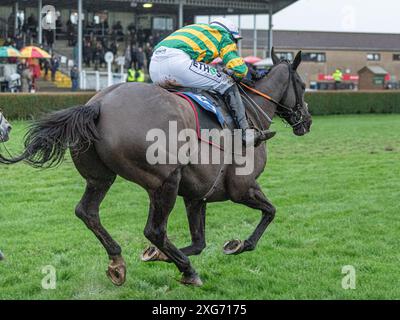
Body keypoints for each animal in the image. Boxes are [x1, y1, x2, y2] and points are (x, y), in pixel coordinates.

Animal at [0, 50, 312, 284]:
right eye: (303, 85)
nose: (306, 121)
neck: (249, 112)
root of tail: (98, 105)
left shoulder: (197, 196)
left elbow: (199, 242)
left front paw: (157, 255)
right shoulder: (242, 187)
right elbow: (270, 212)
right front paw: (237, 245)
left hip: (101, 178)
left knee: (87, 212)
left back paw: (117, 261)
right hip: (165, 181)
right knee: (154, 230)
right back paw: (187, 271)